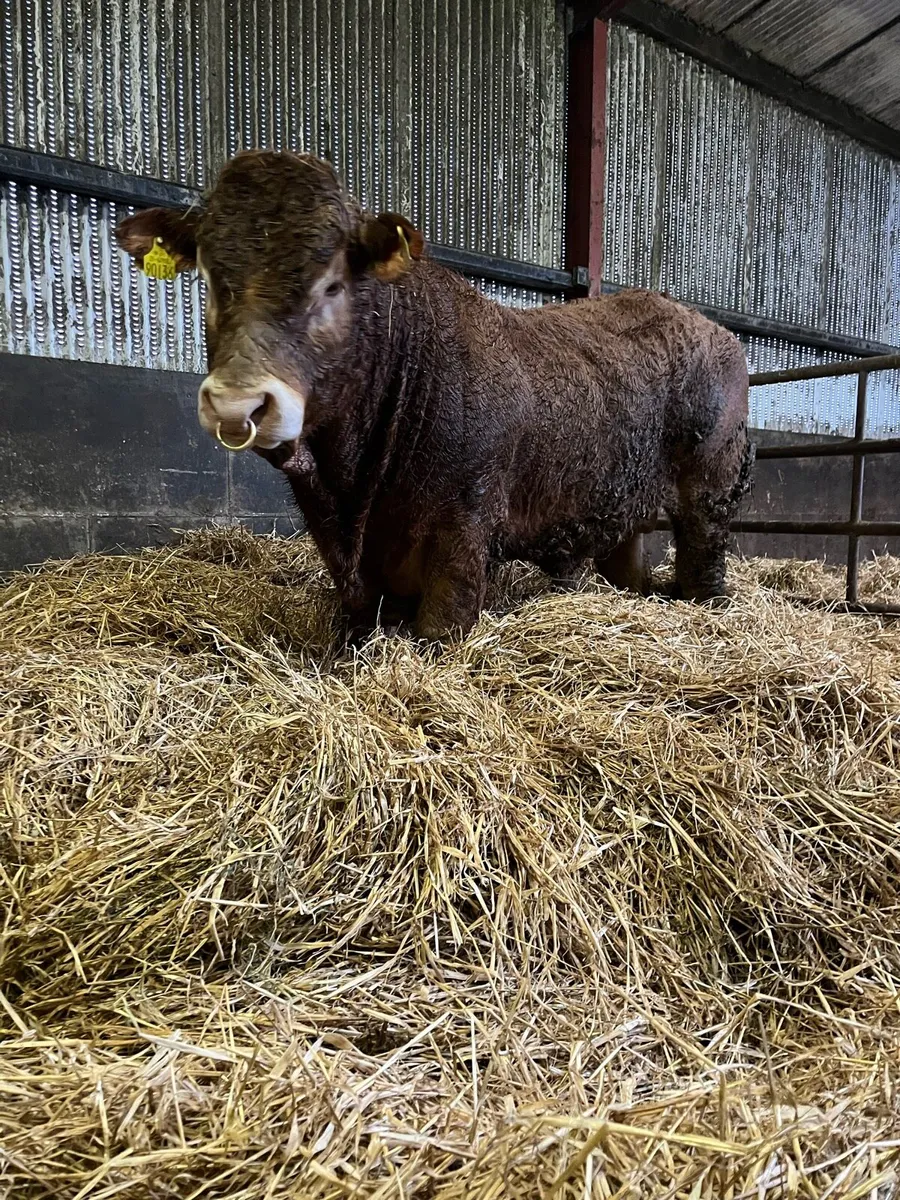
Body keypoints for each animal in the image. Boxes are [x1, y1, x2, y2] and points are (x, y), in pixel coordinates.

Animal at [116, 150, 753, 642]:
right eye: (207, 278)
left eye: (332, 284)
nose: (237, 405)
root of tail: (712, 330)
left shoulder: (462, 537)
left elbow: (440, 630)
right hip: (622, 511)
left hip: (709, 498)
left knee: (703, 569)